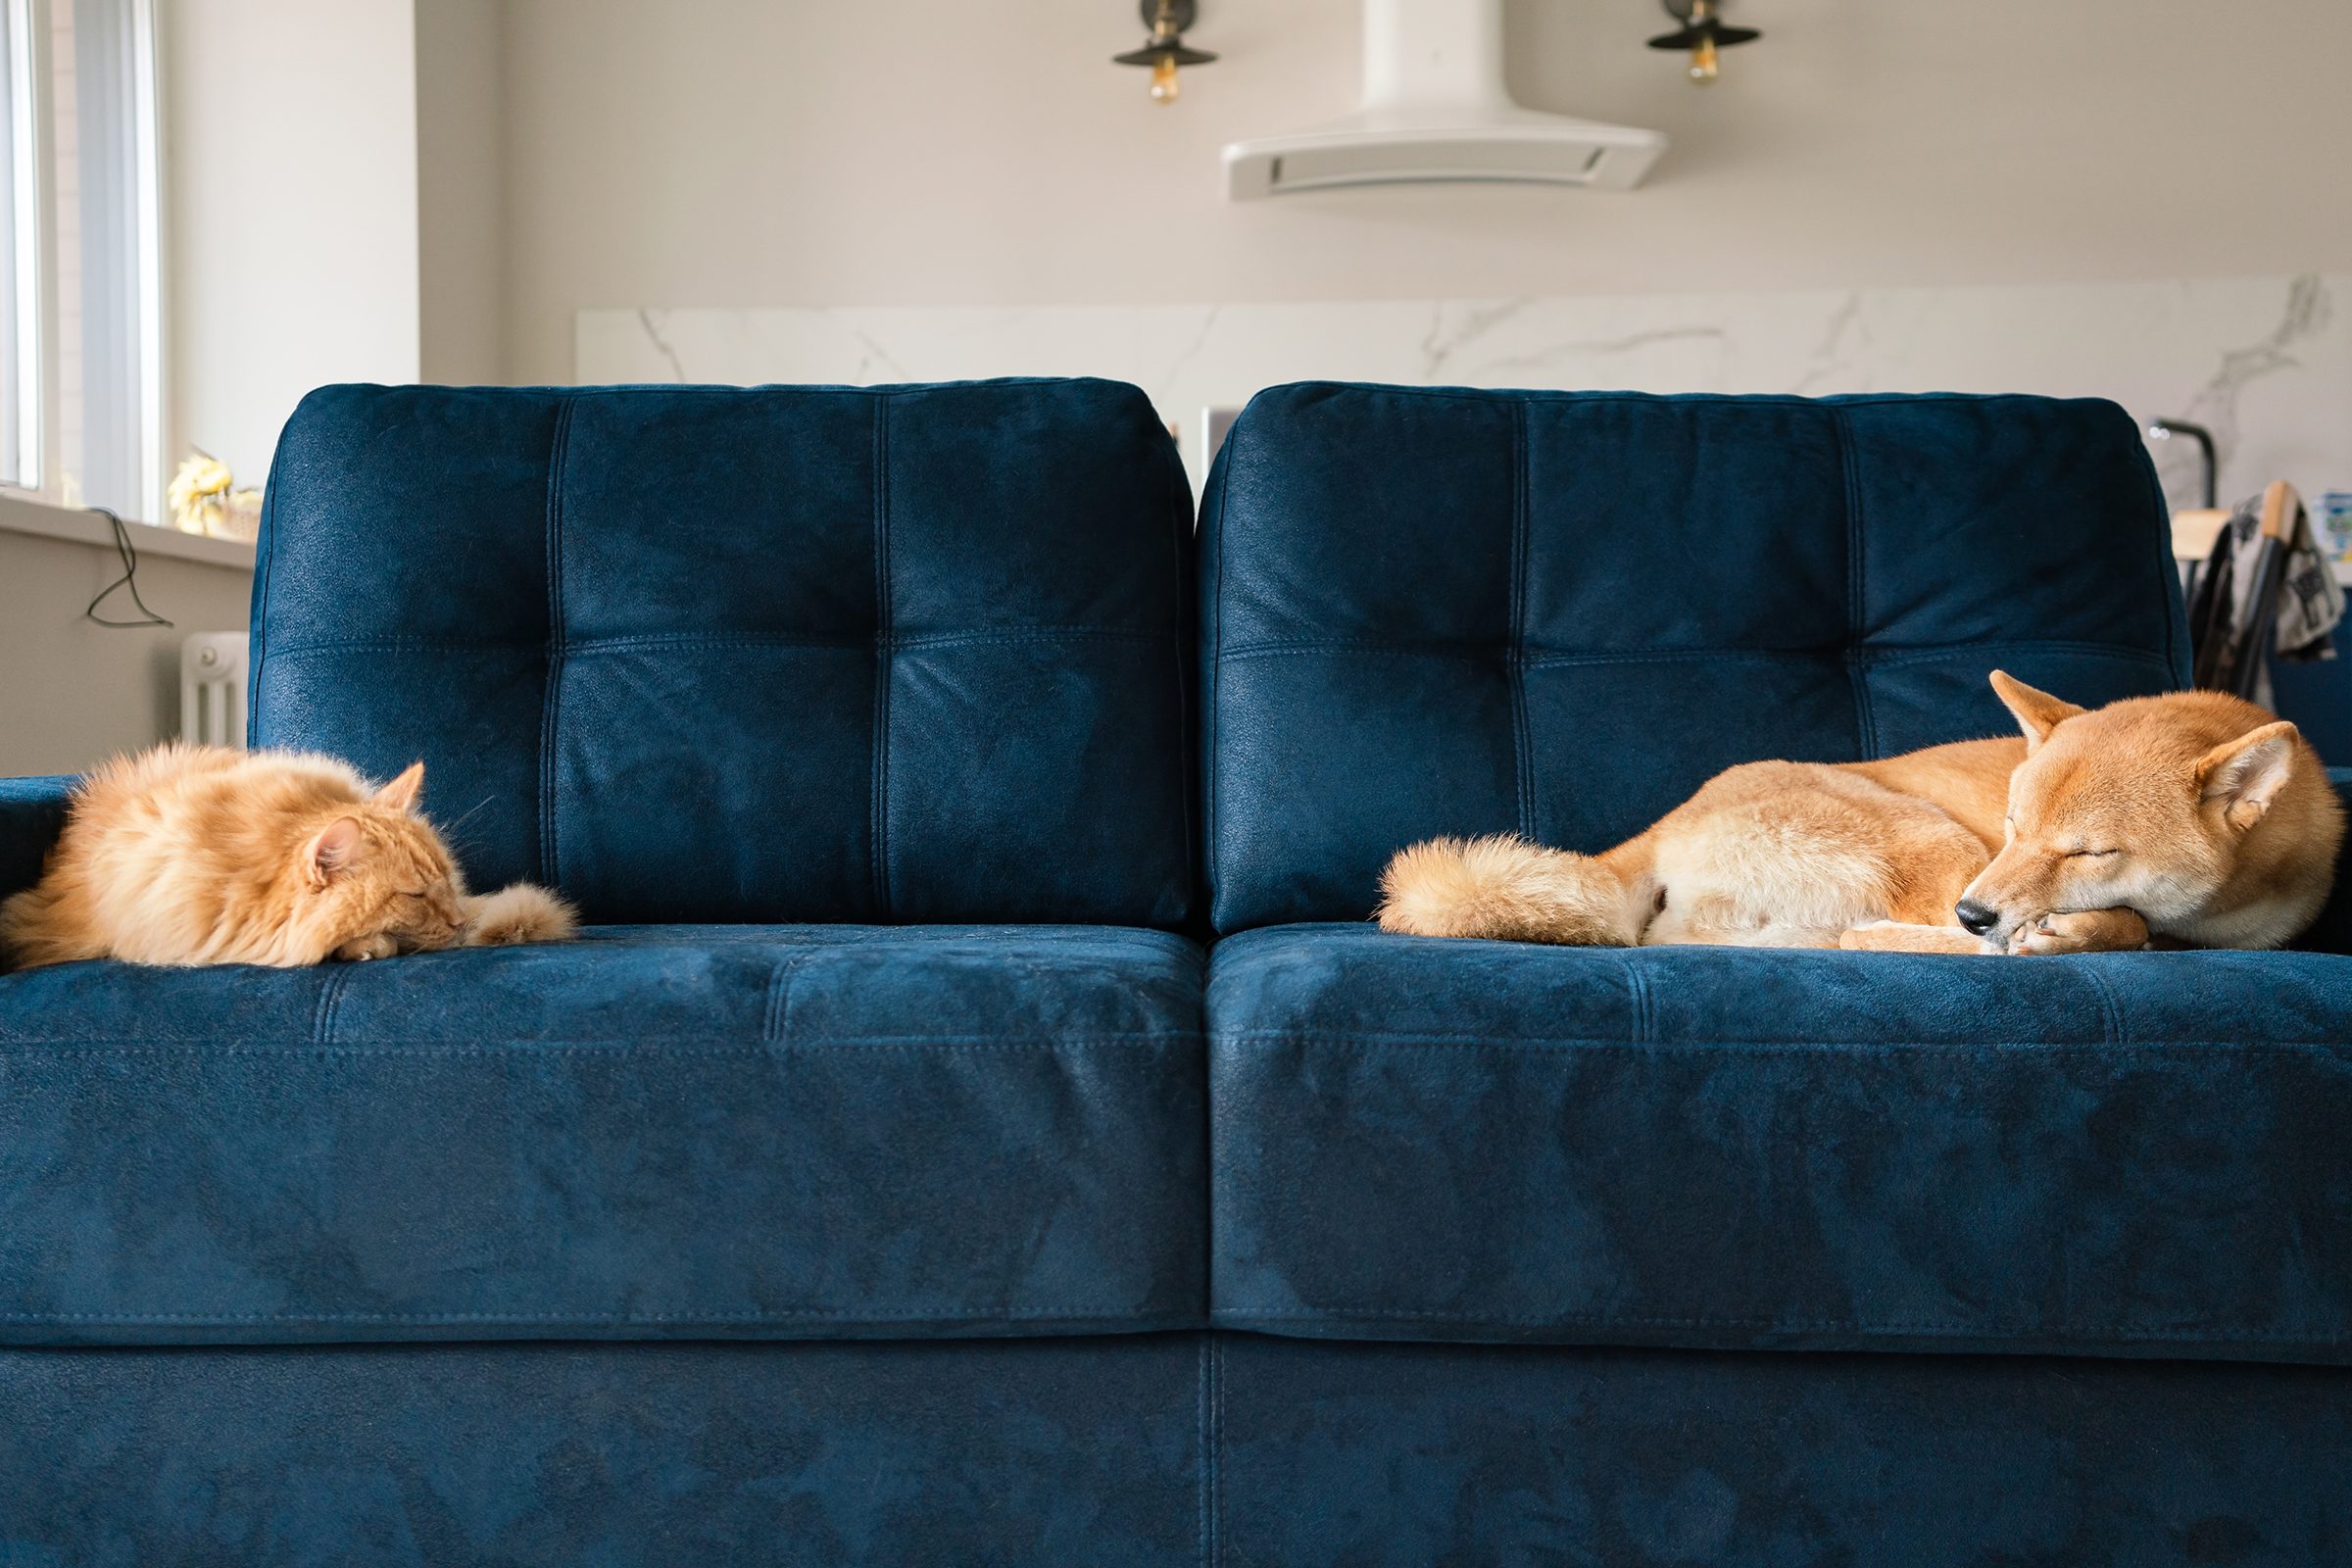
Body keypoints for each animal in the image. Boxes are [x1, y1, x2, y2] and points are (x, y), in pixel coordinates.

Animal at [1373, 676, 2332, 958]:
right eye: (2013, 826)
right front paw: (2082, 932)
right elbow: (2131, 925)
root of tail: (1670, 820)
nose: (1978, 911)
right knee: (1875, 940)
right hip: (1924, 840)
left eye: (2087, 851)